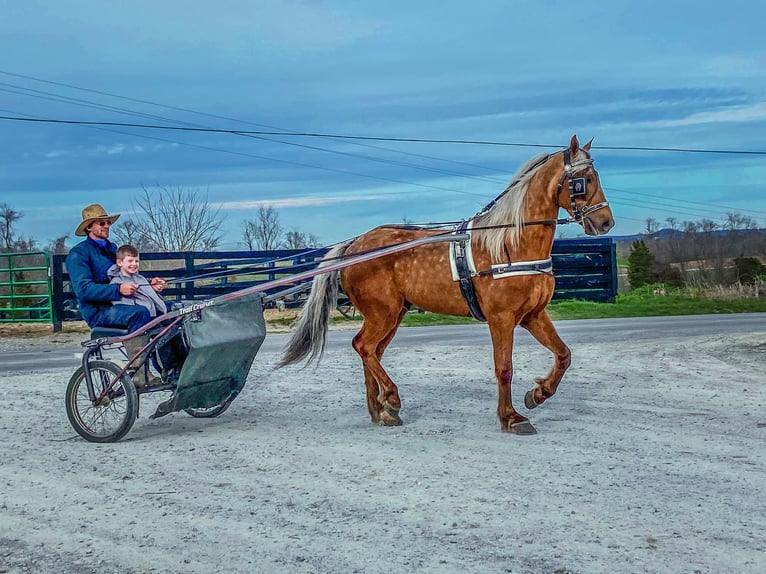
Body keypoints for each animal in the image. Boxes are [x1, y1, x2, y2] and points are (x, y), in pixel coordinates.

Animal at [280, 135, 616, 434]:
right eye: (583, 180)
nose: (606, 223)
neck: (512, 244)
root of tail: (354, 245)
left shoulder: (533, 315)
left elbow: (564, 354)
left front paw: (537, 394)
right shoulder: (501, 318)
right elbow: (504, 367)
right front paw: (510, 418)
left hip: (393, 314)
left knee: (372, 351)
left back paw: (380, 411)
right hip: (382, 313)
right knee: (363, 346)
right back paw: (391, 398)